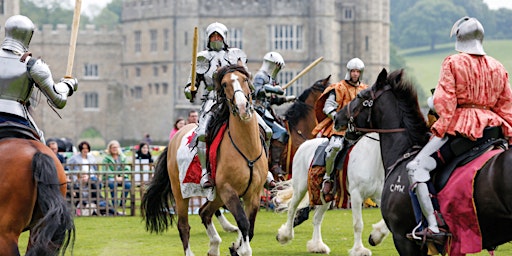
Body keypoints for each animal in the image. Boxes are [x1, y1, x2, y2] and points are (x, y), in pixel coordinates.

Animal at [142, 64, 266, 256]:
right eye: (224, 84)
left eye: (245, 79)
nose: (242, 107)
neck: (246, 149)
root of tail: (175, 138)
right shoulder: (229, 191)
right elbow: (243, 223)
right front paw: (242, 249)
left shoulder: (253, 194)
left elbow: (249, 228)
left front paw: (235, 247)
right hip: (181, 192)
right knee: (184, 226)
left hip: (217, 196)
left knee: (204, 212)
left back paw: (215, 245)